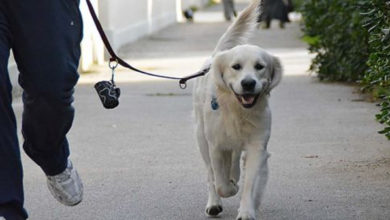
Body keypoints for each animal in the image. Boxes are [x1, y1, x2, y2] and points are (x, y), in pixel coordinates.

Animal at [193, 0, 282, 219]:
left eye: (260, 66)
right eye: (236, 66)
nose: (248, 83)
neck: (238, 110)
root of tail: (215, 56)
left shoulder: (257, 145)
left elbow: (250, 182)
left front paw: (247, 210)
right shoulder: (216, 145)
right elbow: (221, 183)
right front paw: (230, 188)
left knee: (234, 160)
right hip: (201, 138)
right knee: (210, 174)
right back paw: (214, 203)